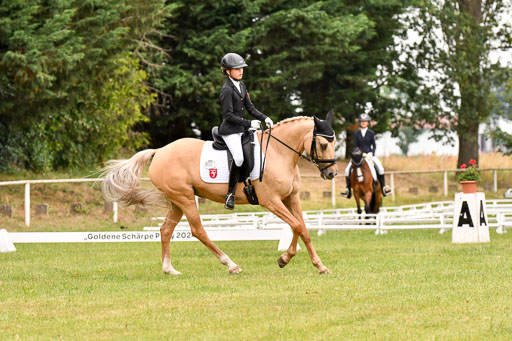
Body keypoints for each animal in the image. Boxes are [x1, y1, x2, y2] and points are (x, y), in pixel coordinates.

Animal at [102, 111, 338, 274]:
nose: (332, 173)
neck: (278, 153)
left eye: (334, 142)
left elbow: (303, 229)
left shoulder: (291, 198)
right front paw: (284, 258)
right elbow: (296, 225)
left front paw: (320, 266)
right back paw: (231, 265)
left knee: (166, 230)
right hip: (185, 198)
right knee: (198, 231)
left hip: (176, 201)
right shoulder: (271, 201)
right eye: (323, 144)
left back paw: (169, 269)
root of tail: (160, 151)